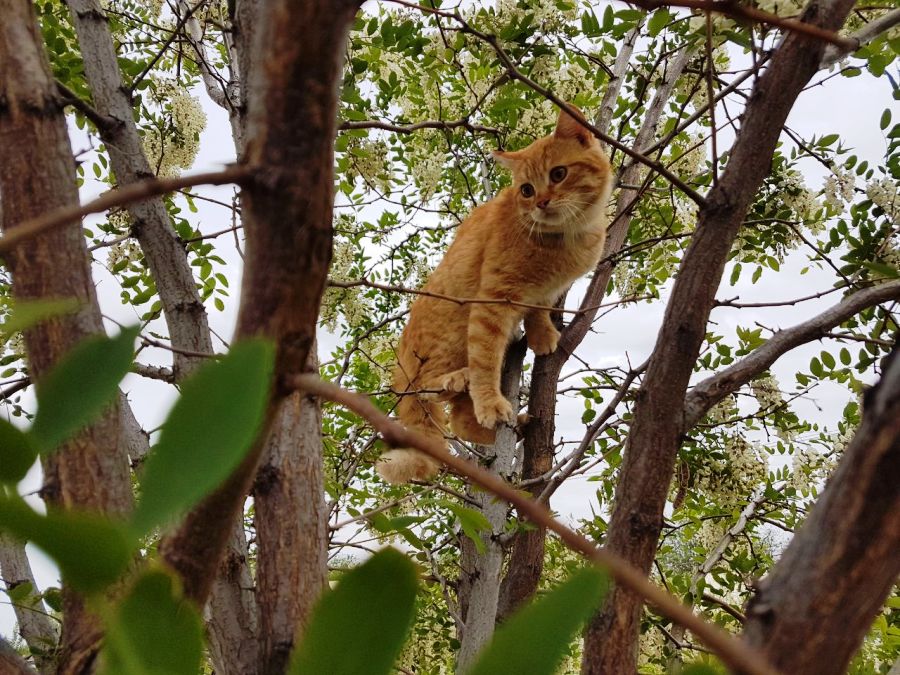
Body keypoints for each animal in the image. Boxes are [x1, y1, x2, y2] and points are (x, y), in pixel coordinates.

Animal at [376, 107, 616, 486]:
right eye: (527, 190)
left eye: (558, 174)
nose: (542, 202)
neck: (566, 241)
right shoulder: (494, 300)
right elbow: (486, 359)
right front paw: (490, 402)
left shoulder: (544, 293)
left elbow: (538, 311)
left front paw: (542, 334)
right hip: (452, 333)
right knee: (433, 386)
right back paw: (461, 379)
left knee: (461, 419)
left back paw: (516, 424)